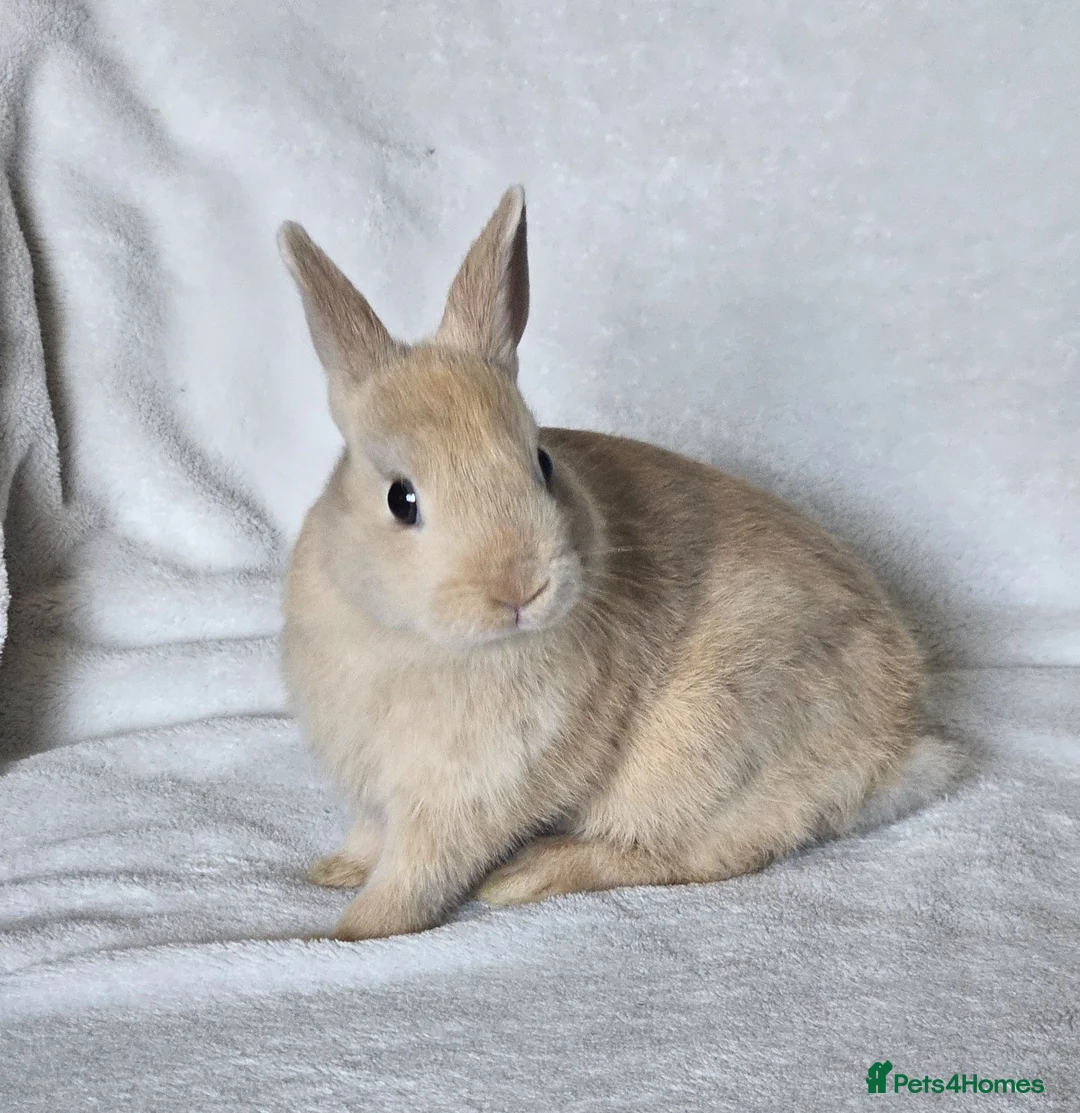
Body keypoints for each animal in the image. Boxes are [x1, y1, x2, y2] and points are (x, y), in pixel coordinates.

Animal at [278, 187, 967, 941]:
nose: (521, 588)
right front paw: (333, 871)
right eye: (401, 498)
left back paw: (530, 874)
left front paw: (344, 933)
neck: (415, 639)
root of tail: (897, 748)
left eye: (542, 462)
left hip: (703, 750)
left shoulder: (466, 794)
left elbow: (418, 871)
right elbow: (373, 836)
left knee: (691, 854)